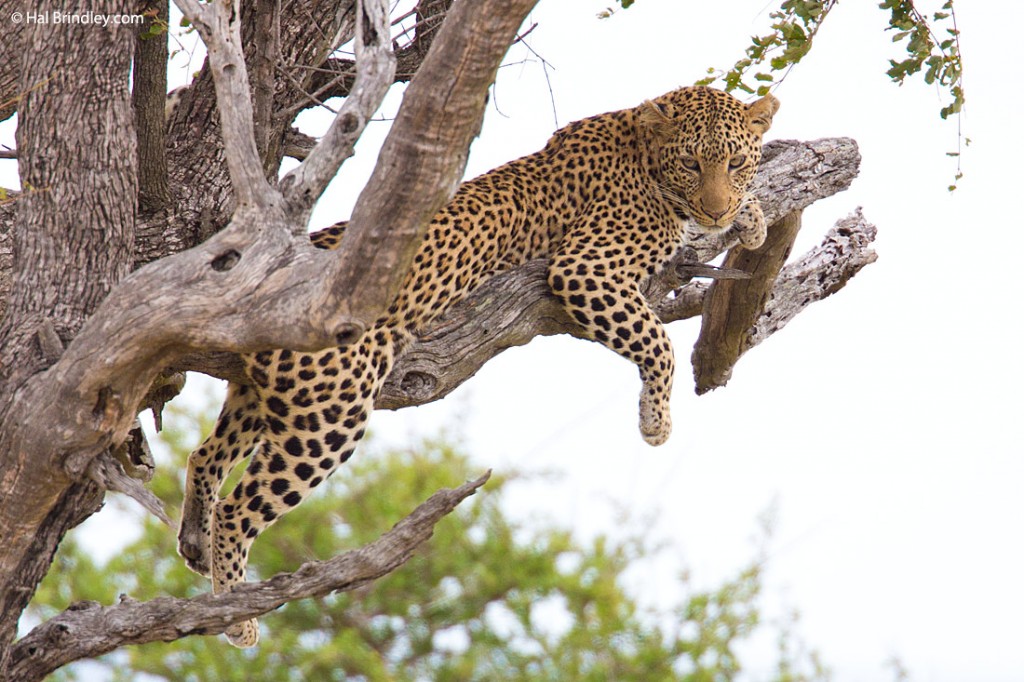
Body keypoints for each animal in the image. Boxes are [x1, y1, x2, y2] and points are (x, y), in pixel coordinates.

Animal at [180, 84, 778, 643]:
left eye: (735, 162)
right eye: (691, 162)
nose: (717, 208)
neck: (640, 146)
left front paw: (749, 218)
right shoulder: (584, 268)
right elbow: (657, 341)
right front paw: (655, 422)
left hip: (266, 394)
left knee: (205, 455)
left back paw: (193, 542)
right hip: (329, 415)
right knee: (237, 509)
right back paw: (235, 616)